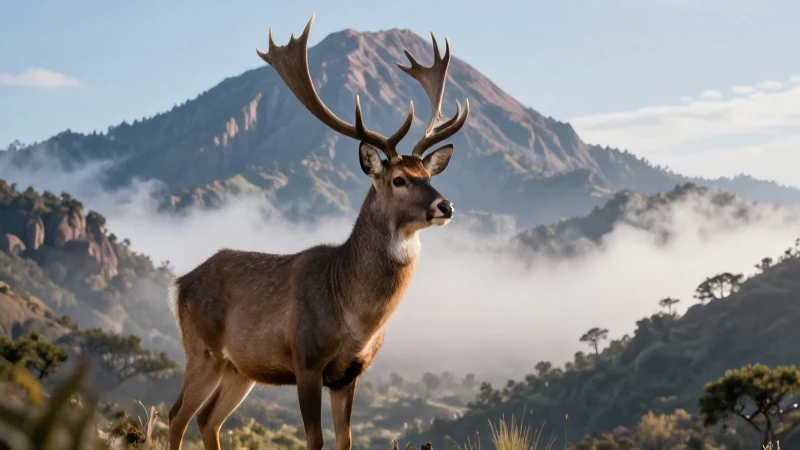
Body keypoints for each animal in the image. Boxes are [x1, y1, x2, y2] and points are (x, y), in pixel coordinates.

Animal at [167, 15, 469, 450]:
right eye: (398, 179)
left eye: (428, 175)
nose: (445, 206)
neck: (355, 317)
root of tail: (179, 285)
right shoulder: (306, 360)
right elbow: (315, 439)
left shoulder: (349, 375)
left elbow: (345, 440)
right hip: (203, 350)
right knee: (177, 416)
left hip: (241, 368)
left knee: (208, 419)